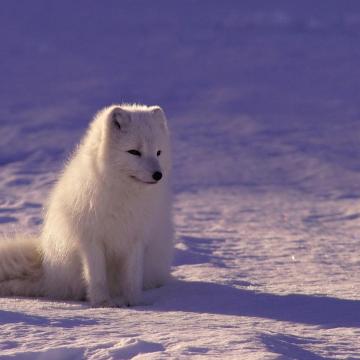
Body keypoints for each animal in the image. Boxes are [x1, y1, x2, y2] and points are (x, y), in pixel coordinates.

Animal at [0, 103, 174, 306]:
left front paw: (134, 302)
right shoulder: (91, 239)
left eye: (158, 152)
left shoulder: (136, 238)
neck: (123, 195)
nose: (158, 175)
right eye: (134, 152)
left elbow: (132, 278)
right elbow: (97, 277)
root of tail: (47, 271)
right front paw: (102, 303)